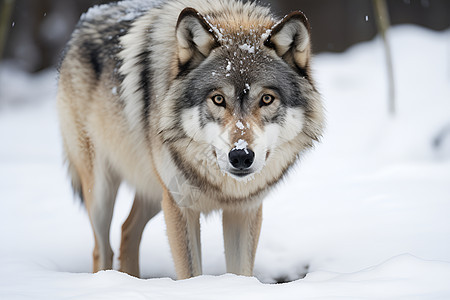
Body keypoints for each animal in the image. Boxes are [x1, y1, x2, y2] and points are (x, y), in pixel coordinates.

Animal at [57, 0, 324, 278]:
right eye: (218, 99)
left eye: (267, 99)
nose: (240, 156)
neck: (223, 188)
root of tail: (87, 18)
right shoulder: (180, 207)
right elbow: (191, 272)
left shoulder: (243, 210)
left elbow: (241, 273)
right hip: (102, 193)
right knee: (102, 249)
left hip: (154, 191)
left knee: (127, 230)